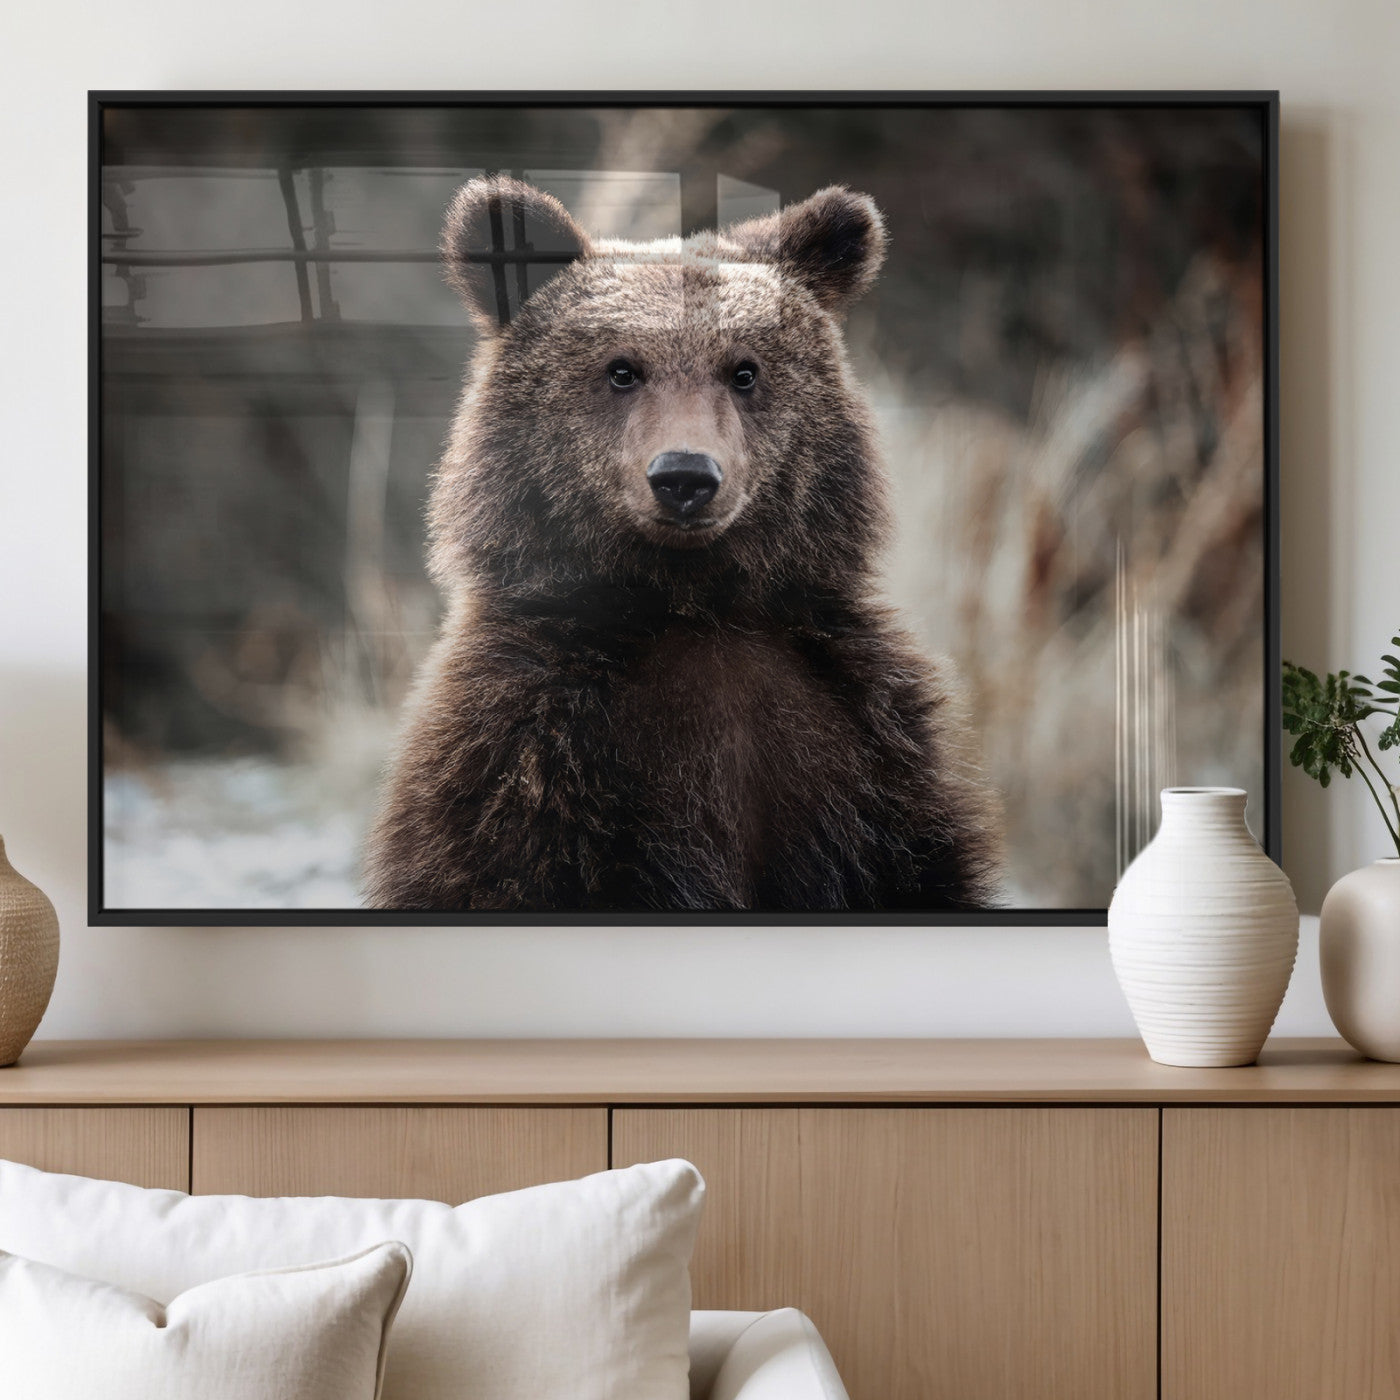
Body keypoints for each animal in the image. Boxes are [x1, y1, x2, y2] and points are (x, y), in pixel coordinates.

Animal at [363, 175, 1002, 912]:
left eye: (744, 370)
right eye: (621, 369)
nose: (685, 477)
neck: (694, 605)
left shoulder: (866, 749)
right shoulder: (527, 756)